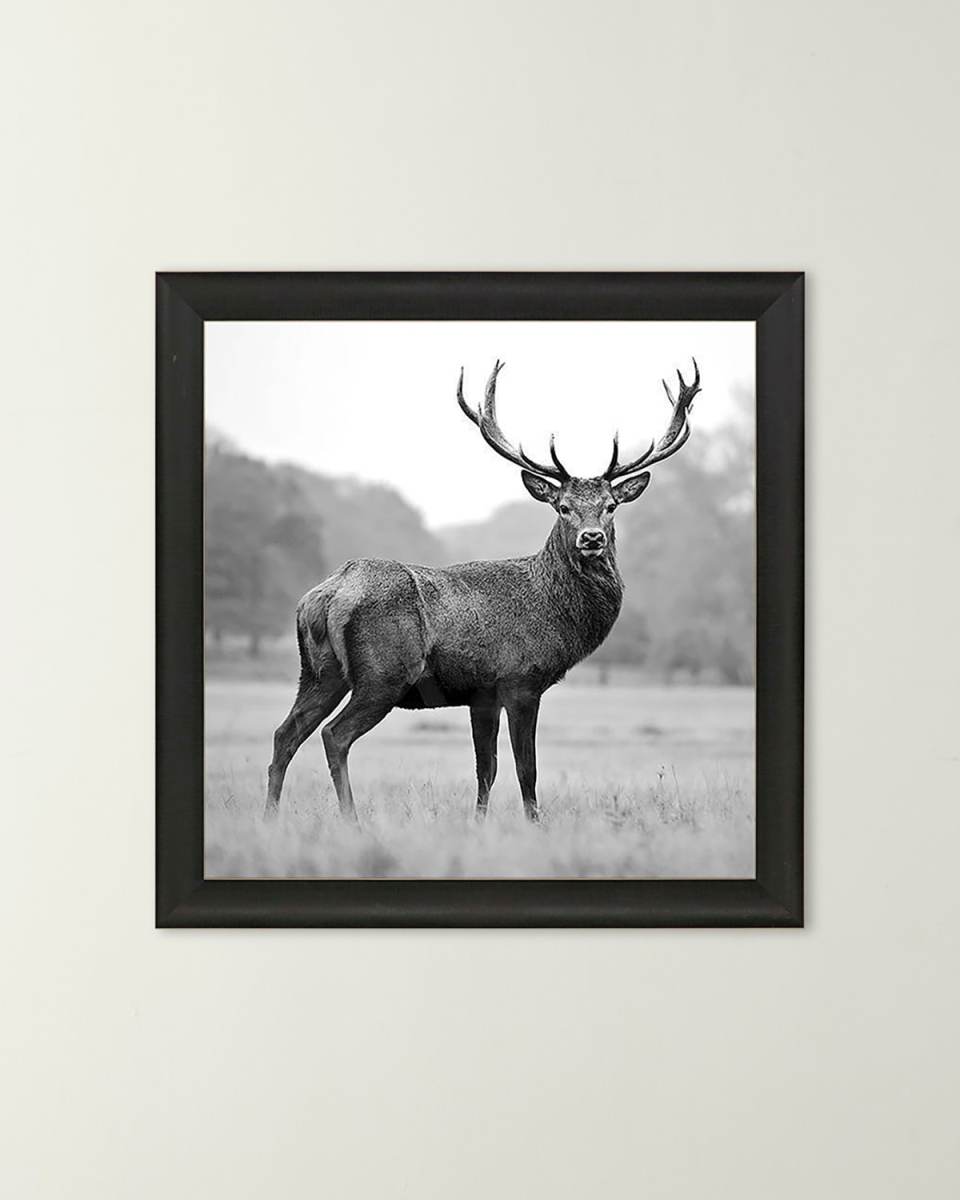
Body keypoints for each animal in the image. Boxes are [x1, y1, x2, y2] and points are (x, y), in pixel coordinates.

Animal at [265, 359, 701, 823]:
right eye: (563, 506)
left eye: (611, 506)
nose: (592, 538)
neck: (555, 613)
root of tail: (327, 594)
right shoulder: (520, 679)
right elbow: (526, 768)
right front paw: (534, 823)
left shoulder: (482, 694)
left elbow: (485, 769)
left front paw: (479, 823)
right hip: (383, 673)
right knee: (334, 735)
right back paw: (352, 820)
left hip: (318, 671)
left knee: (285, 733)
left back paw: (269, 815)